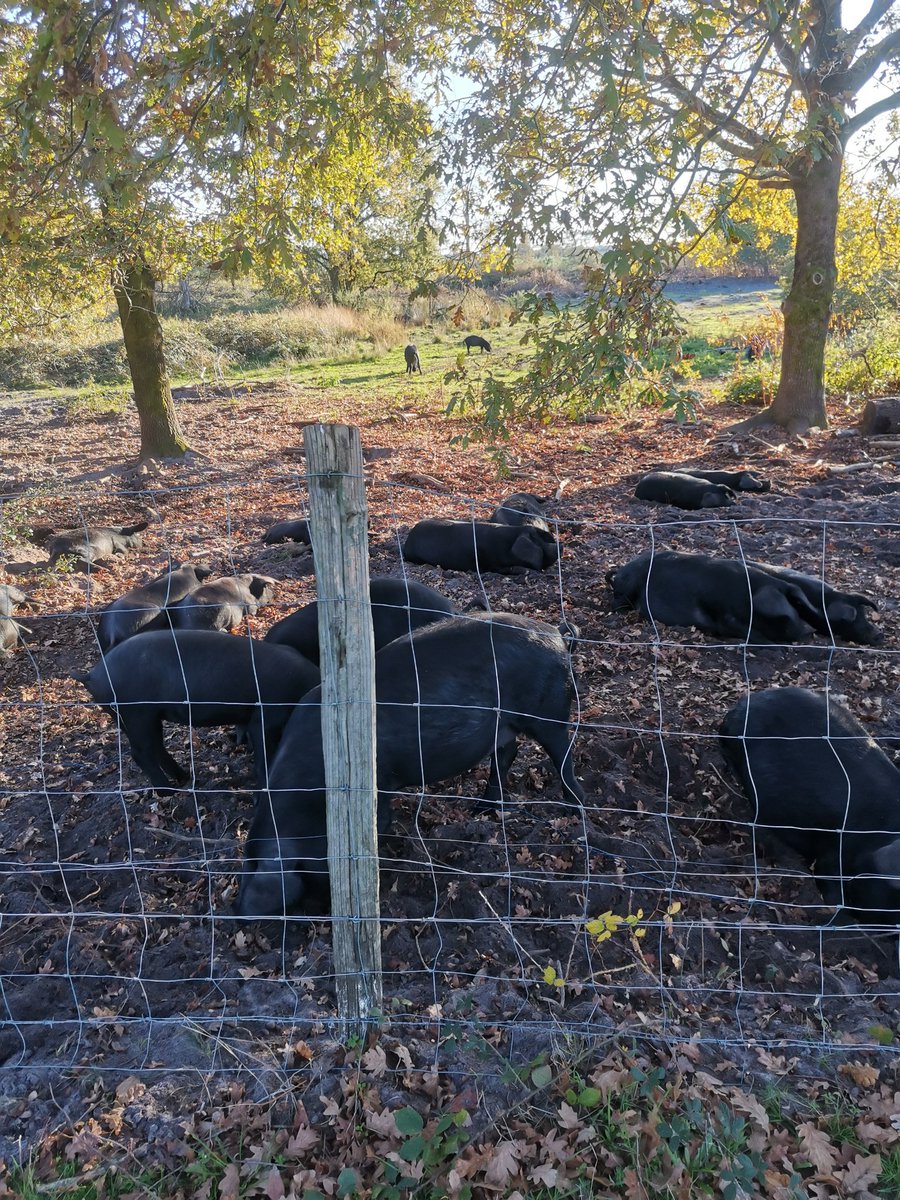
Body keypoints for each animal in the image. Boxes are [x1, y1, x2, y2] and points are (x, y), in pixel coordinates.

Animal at [77, 630, 320, 789]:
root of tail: (93, 674)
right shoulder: (265, 716)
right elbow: (263, 755)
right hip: (136, 713)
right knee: (140, 753)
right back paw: (169, 791)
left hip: (134, 716)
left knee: (156, 747)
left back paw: (184, 777)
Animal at [235, 612, 583, 916]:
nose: (240, 914)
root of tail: (555, 634)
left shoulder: (375, 789)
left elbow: (380, 826)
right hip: (503, 726)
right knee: (507, 752)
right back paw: (481, 810)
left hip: (549, 712)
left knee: (562, 754)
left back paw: (574, 812)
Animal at [607, 549, 822, 643]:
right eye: (783, 616)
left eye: (794, 606)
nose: (809, 631)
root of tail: (621, 571)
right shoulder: (725, 618)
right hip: (626, 591)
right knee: (617, 605)